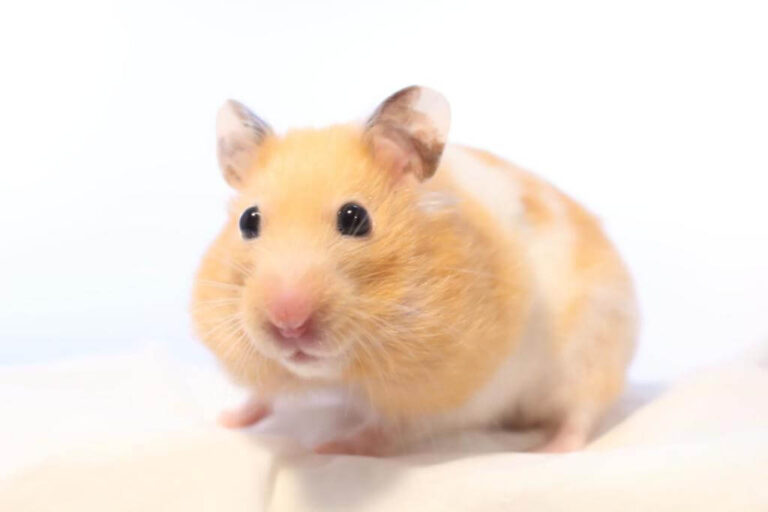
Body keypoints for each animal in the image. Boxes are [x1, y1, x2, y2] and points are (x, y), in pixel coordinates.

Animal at [191, 86, 638, 455]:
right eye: (248, 221)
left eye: (355, 218)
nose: (288, 322)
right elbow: (260, 396)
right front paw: (228, 421)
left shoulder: (446, 394)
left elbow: (387, 429)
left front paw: (328, 447)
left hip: (594, 348)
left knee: (581, 414)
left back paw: (547, 450)